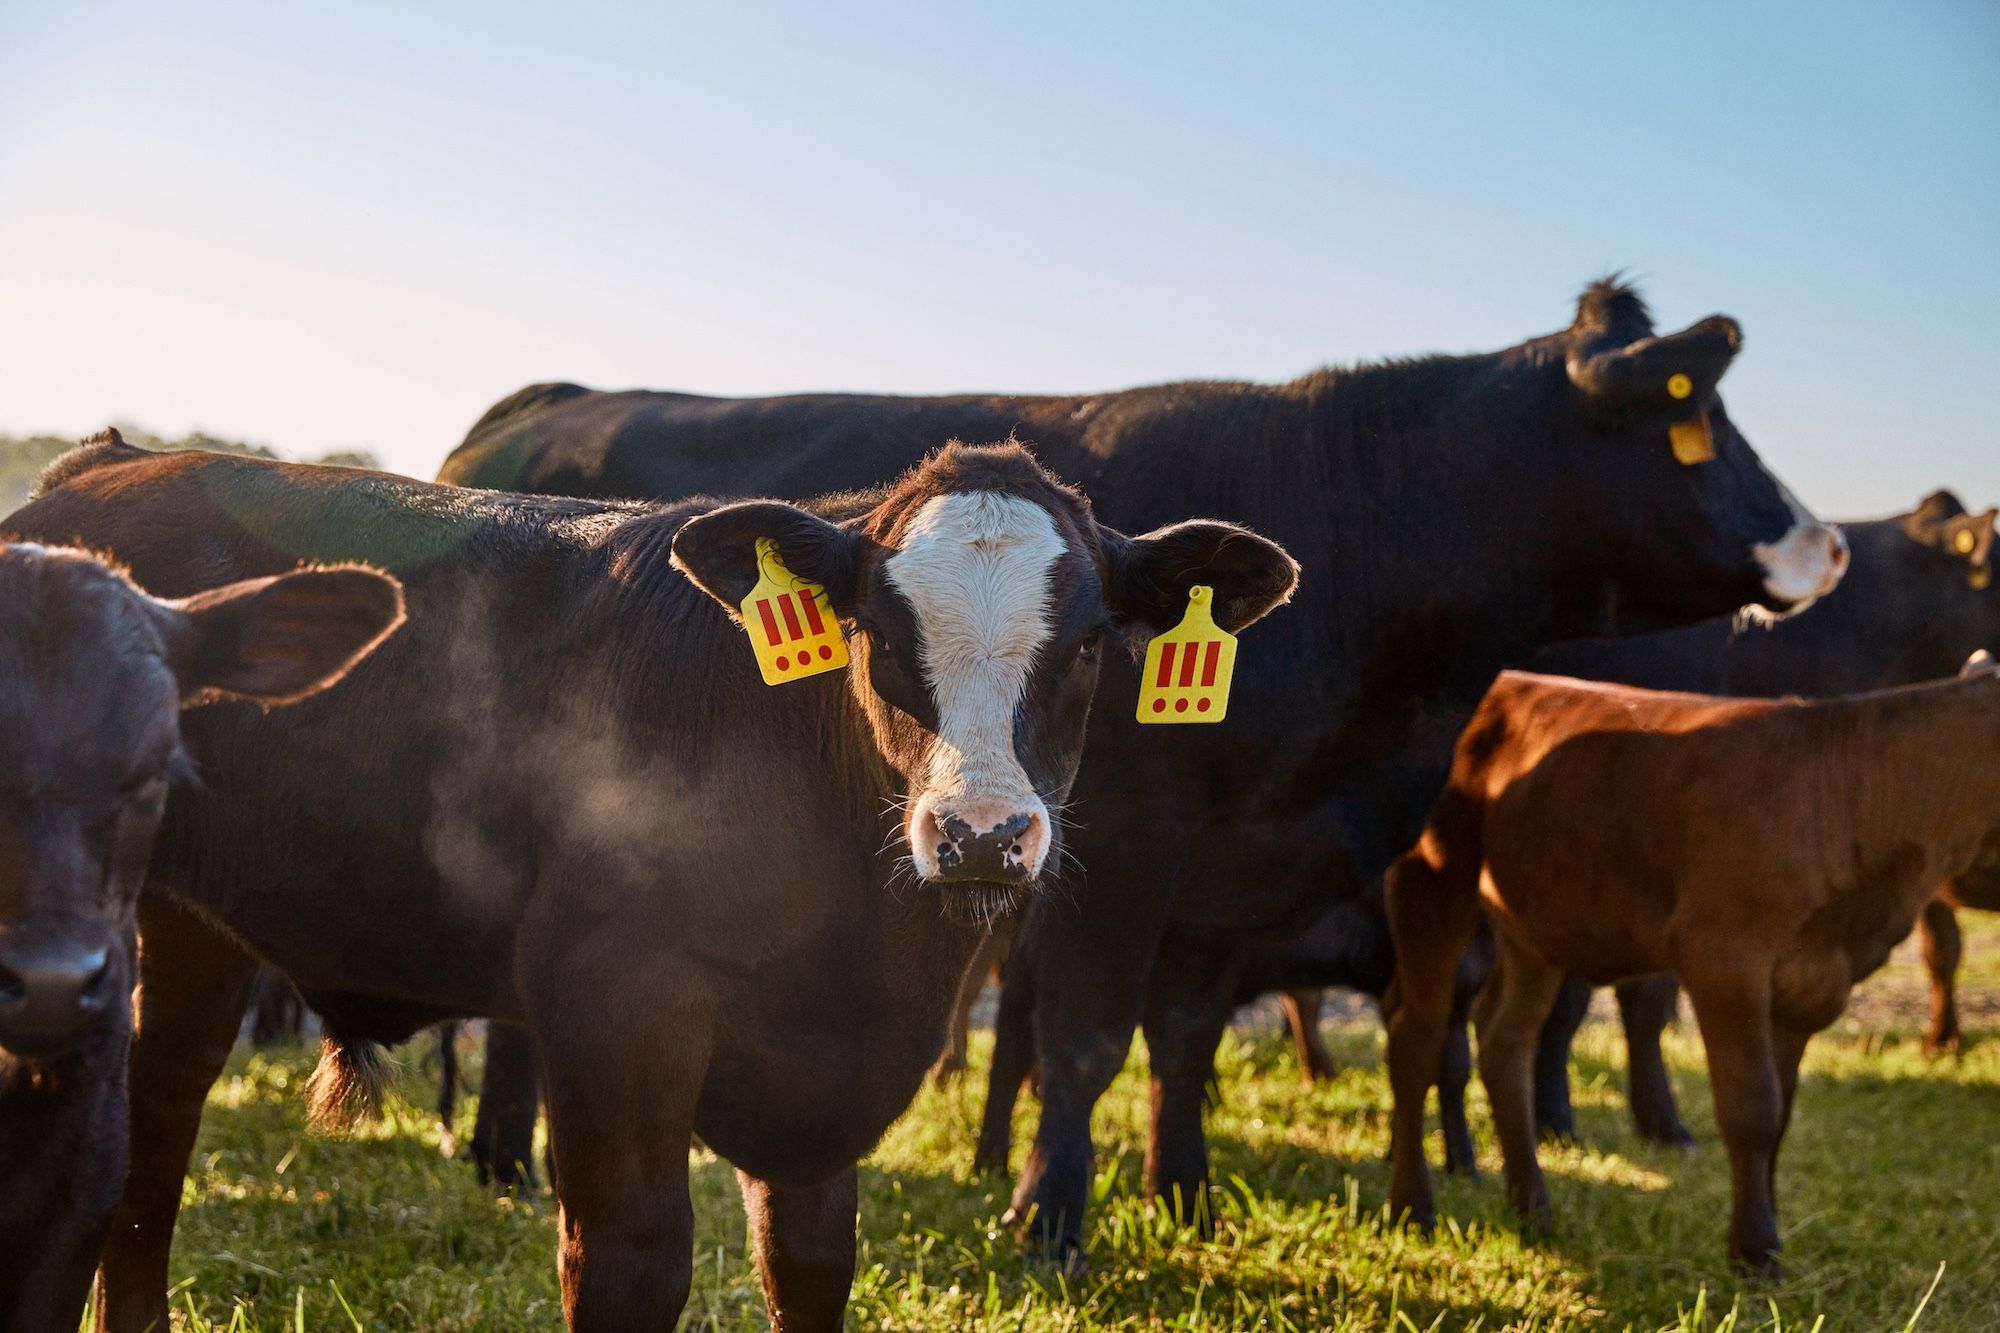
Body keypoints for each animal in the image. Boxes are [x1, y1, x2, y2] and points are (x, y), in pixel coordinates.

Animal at [436, 280, 1847, 1258]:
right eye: (1698, 422)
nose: (1825, 542)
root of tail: (537, 405)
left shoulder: (1225, 871)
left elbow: (1182, 1036)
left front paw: (1184, 1189)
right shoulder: (1119, 852)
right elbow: (1082, 1040)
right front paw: (1049, 1218)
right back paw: (506, 1156)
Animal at [1383, 658, 2000, 1275]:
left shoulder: (1811, 981)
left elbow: (1780, 1114)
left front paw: (1766, 1233)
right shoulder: (1723, 957)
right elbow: (1752, 1107)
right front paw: (1755, 1252)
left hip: (1532, 924)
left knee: (1505, 1041)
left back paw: (1533, 1209)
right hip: (1430, 883)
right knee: (1416, 1038)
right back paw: (1413, 1210)